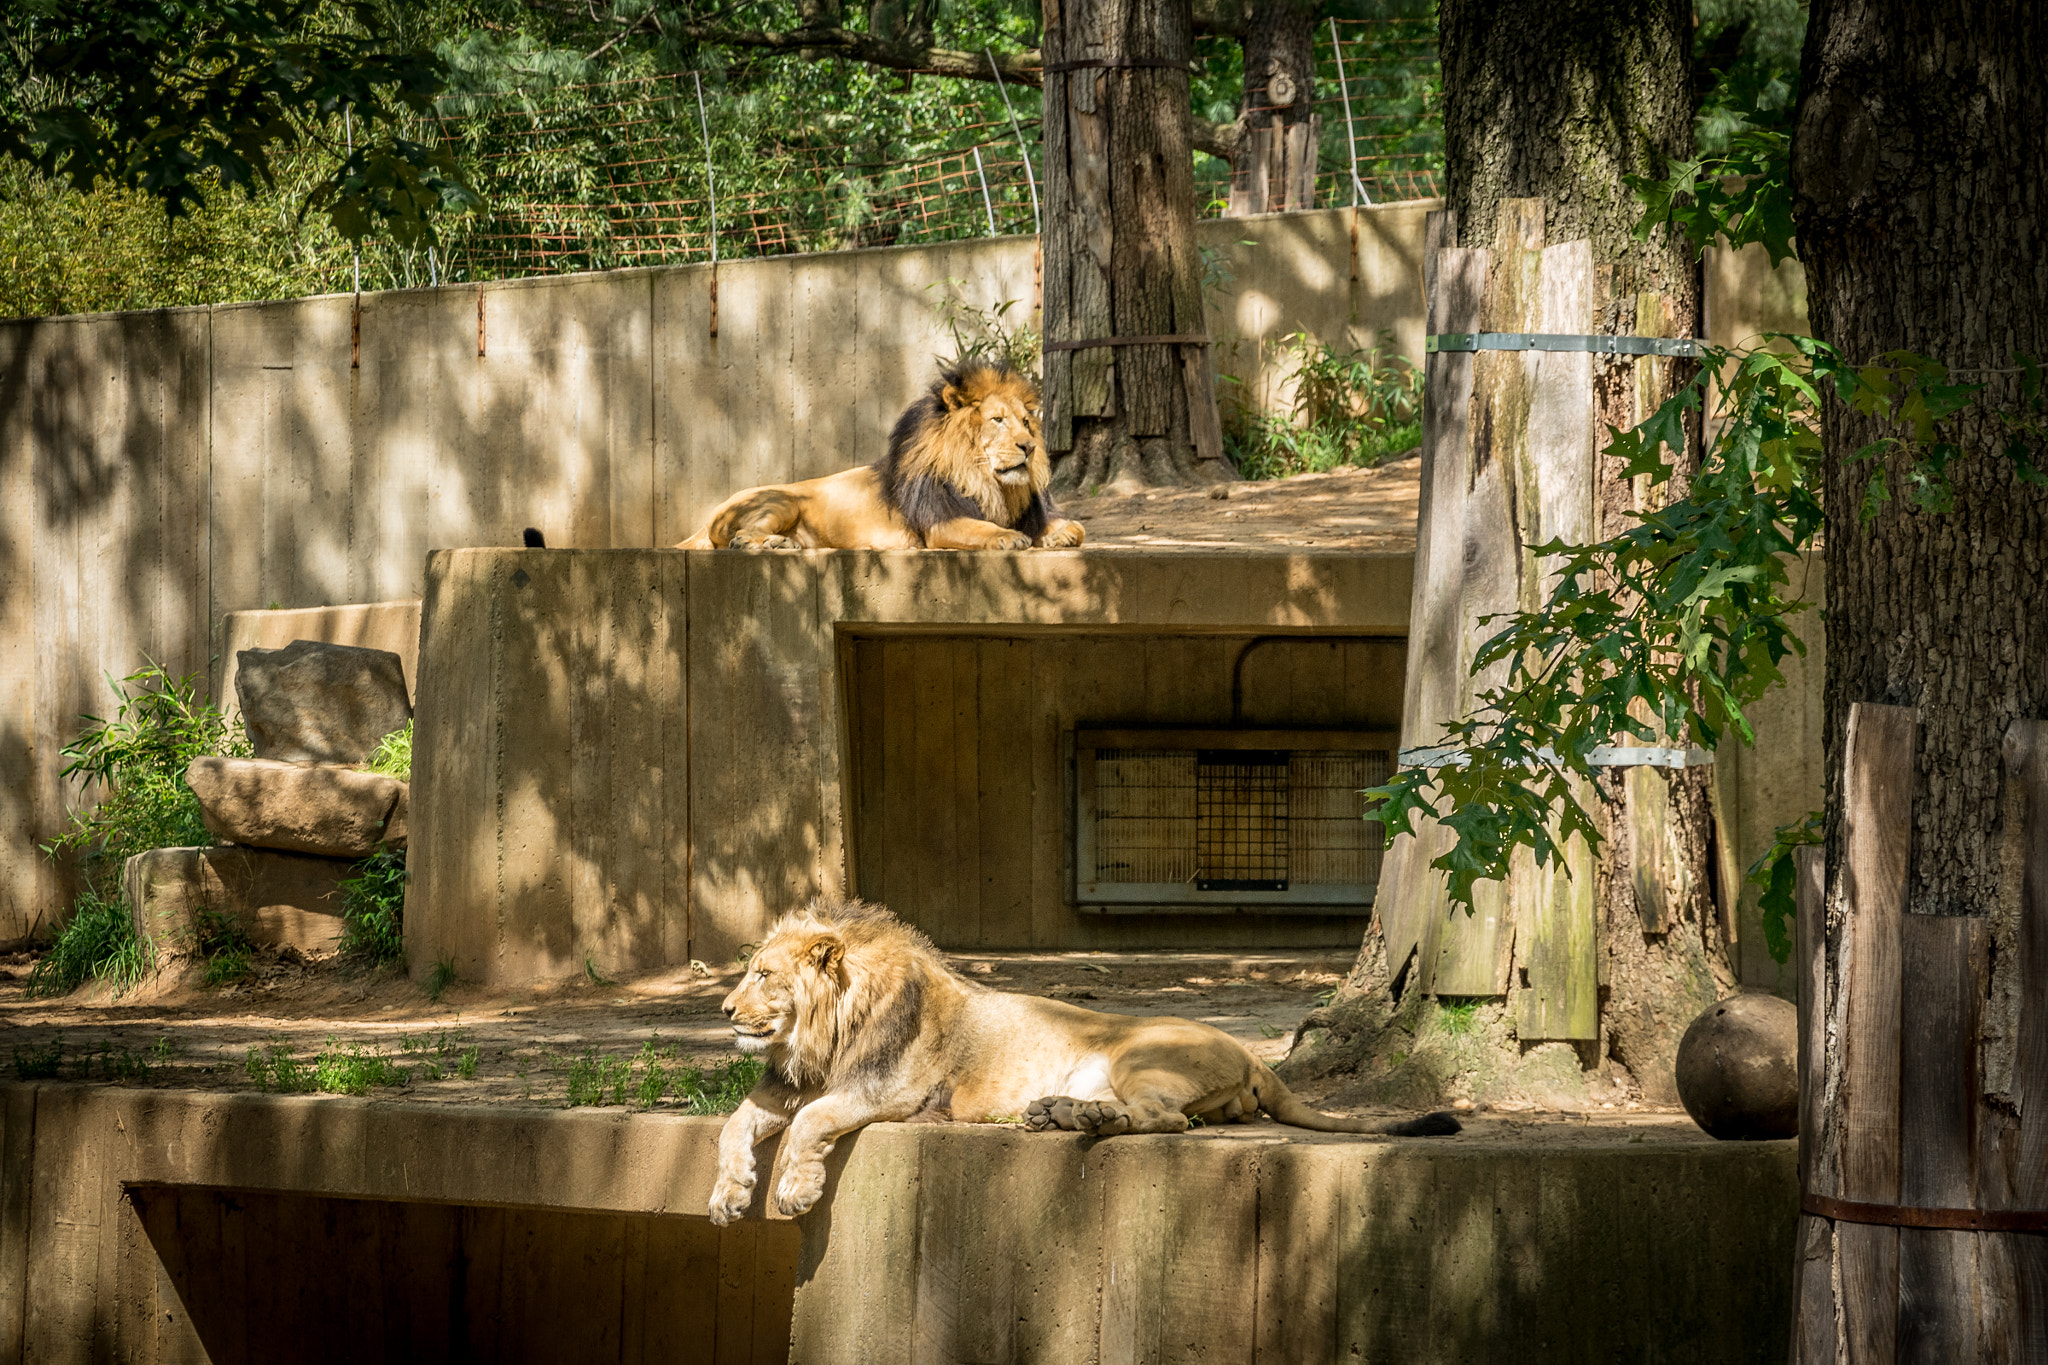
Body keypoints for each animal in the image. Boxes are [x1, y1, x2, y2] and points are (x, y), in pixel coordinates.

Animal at [676, 358, 1085, 551]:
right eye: (997, 420)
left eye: (1026, 423)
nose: (1029, 447)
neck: (987, 481)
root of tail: (706, 518)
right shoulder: (940, 523)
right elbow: (980, 528)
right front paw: (1008, 537)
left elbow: (1074, 528)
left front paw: (1061, 535)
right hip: (781, 501)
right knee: (739, 535)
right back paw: (766, 543)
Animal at [707, 899, 1459, 1224]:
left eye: (764, 974)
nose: (723, 1008)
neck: (814, 1039)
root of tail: (1253, 1054)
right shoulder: (781, 1087)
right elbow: (732, 1128)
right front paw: (729, 1195)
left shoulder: (887, 1088)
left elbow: (811, 1124)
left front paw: (791, 1190)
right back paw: (1061, 1112)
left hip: (1139, 1055)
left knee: (1165, 1120)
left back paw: (1081, 1118)